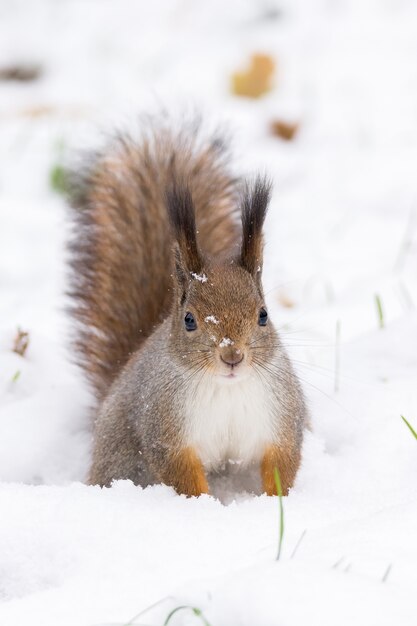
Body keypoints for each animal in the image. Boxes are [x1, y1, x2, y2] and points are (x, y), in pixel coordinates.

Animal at [68, 119, 308, 494]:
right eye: (189, 320)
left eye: (263, 315)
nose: (232, 355)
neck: (227, 388)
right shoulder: (166, 433)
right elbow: (182, 474)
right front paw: (202, 504)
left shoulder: (281, 419)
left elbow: (281, 462)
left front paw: (277, 500)